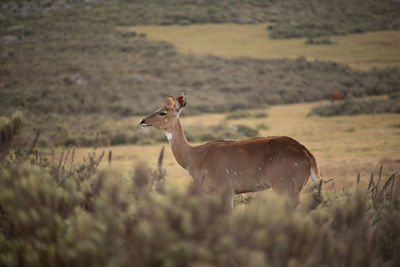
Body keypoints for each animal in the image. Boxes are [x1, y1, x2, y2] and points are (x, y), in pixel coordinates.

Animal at [141, 93, 322, 203]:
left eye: (163, 112)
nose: (142, 121)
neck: (195, 158)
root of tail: (307, 154)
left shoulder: (225, 189)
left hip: (284, 185)